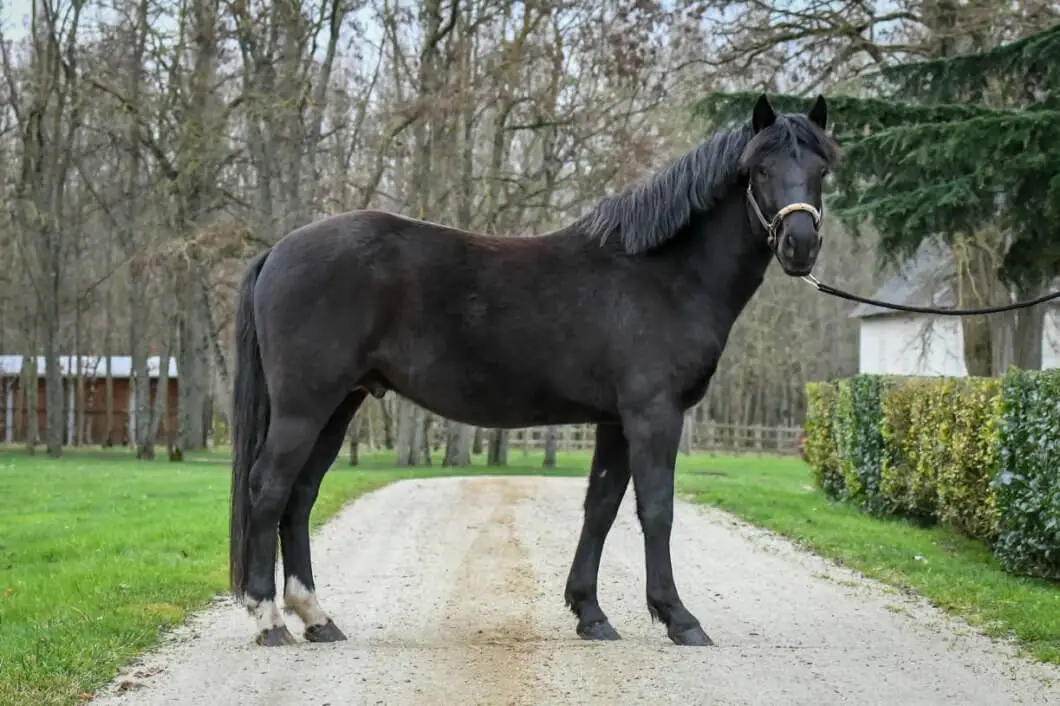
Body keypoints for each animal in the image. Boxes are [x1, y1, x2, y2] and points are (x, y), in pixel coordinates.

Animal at [228, 93, 841, 647]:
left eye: (821, 170)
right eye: (760, 169)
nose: (800, 245)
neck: (663, 275)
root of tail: (278, 251)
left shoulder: (615, 421)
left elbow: (600, 507)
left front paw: (590, 613)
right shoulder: (654, 414)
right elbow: (657, 509)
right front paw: (678, 618)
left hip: (340, 402)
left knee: (301, 495)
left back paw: (316, 618)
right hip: (304, 405)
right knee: (269, 488)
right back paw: (268, 621)